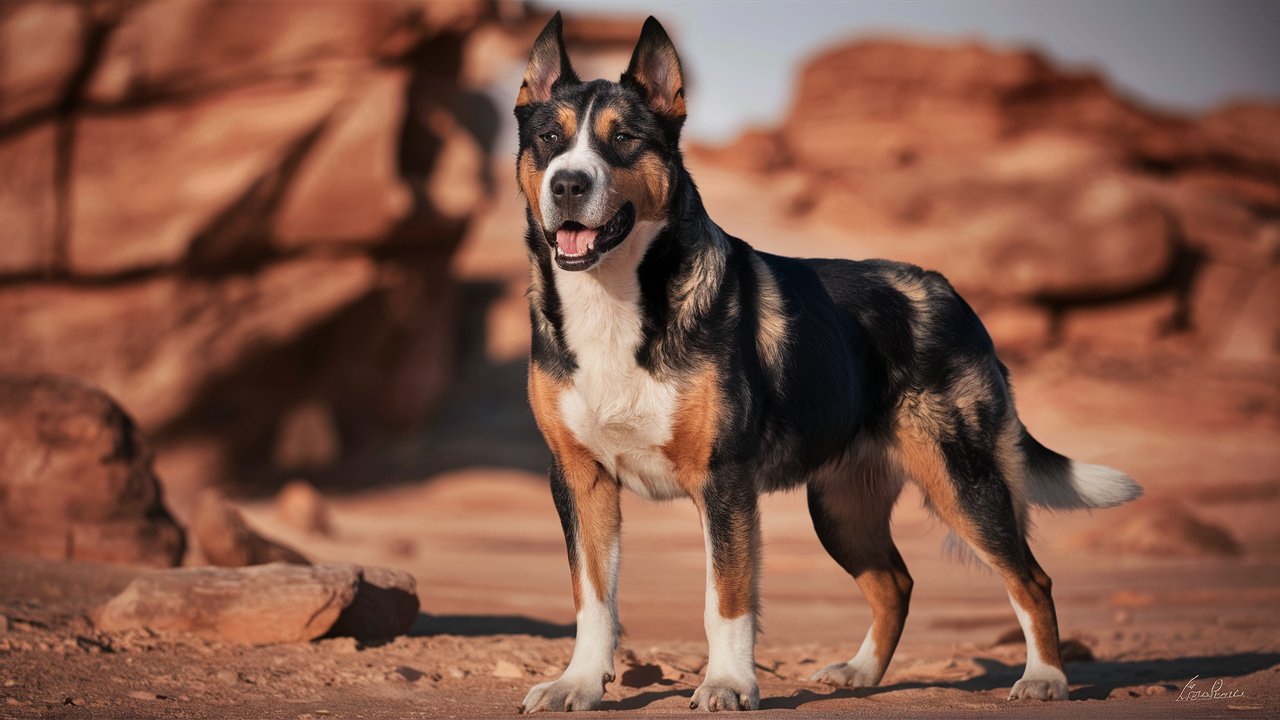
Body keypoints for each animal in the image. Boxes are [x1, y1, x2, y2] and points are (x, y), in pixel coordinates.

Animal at [514, 14, 1146, 707]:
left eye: (623, 138)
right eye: (548, 138)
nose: (568, 183)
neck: (615, 299)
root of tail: (948, 293)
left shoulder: (724, 481)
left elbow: (725, 600)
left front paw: (728, 684)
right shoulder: (579, 479)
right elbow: (592, 598)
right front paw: (578, 684)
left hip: (964, 480)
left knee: (1031, 579)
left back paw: (1044, 678)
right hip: (842, 505)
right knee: (894, 583)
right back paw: (860, 673)